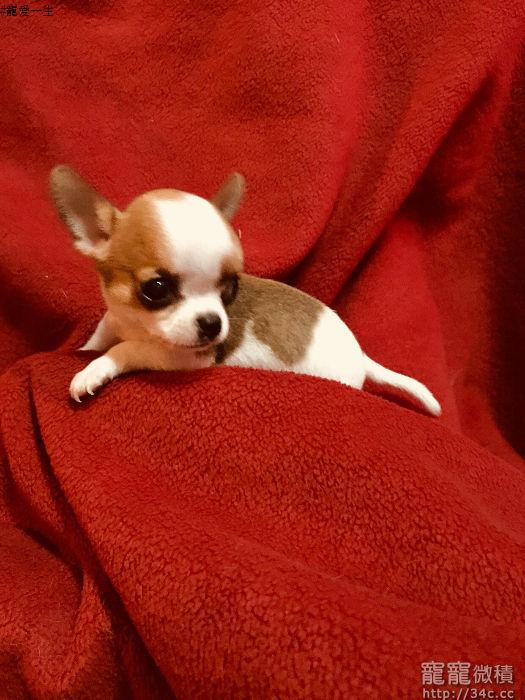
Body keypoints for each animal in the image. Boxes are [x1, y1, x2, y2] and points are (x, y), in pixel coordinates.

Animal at [49, 165, 441, 416]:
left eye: (231, 288)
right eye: (156, 289)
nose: (212, 324)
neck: (137, 324)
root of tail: (361, 357)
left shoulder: (188, 359)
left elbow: (128, 349)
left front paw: (95, 369)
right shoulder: (115, 320)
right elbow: (102, 335)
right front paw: (88, 350)